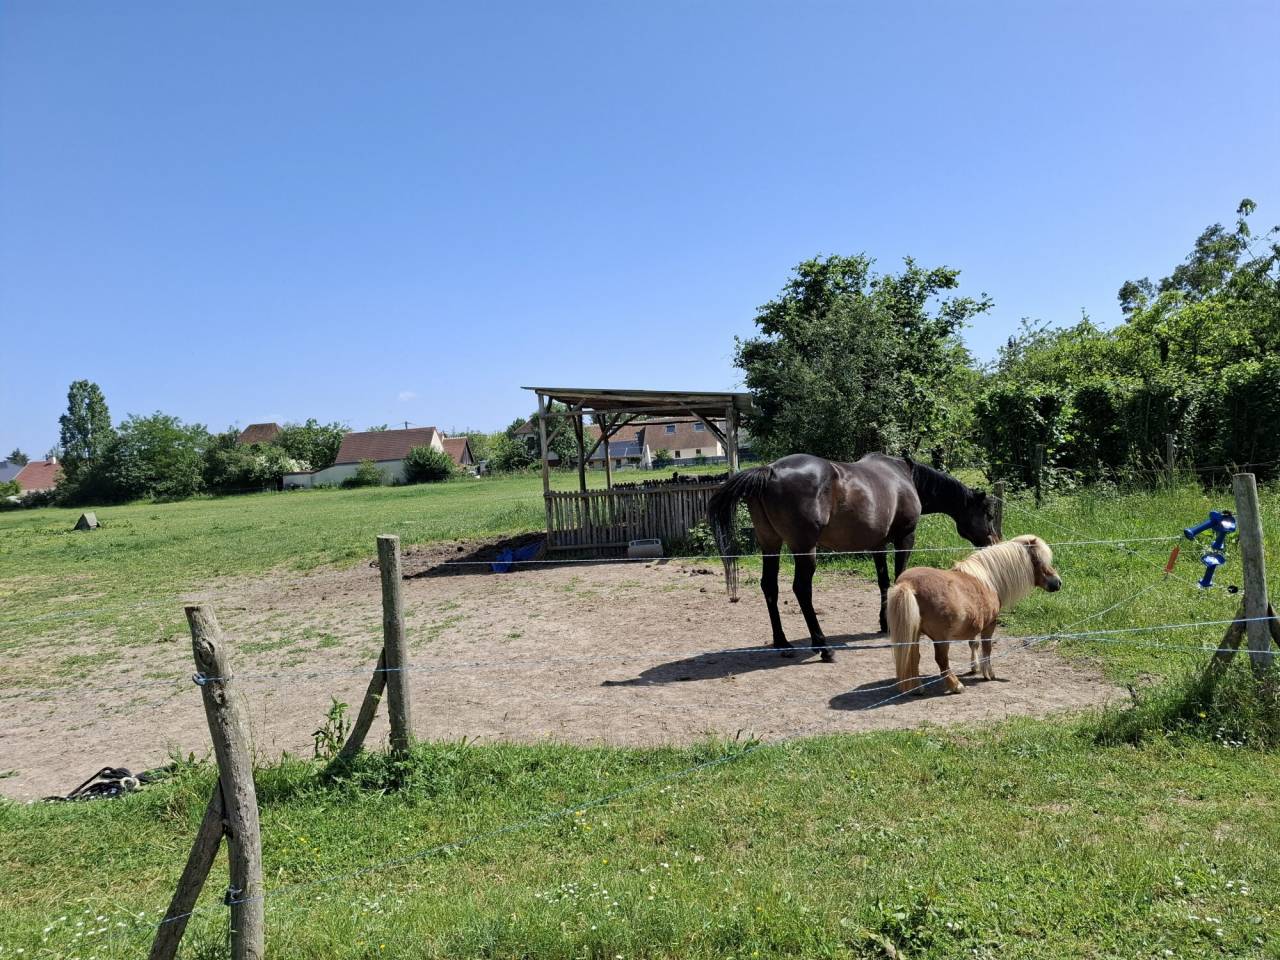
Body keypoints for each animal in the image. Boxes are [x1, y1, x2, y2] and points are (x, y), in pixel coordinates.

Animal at [706, 453, 998, 662]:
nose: (993, 541)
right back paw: (823, 646)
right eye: (988, 513)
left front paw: (884, 622)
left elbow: (884, 582)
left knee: (770, 587)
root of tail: (771, 471)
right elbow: (898, 577)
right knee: (801, 589)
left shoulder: (878, 545)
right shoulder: (905, 538)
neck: (906, 477)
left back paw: (782, 643)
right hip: (804, 549)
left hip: (771, 544)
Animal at [888, 534, 1061, 695]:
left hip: (915, 633)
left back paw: (917, 687)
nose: (1058, 582)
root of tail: (907, 584)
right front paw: (988, 673)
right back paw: (956, 686)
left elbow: (974, 644)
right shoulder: (989, 625)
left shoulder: (974, 624)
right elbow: (987, 647)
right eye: (1038, 561)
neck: (988, 579)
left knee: (913, 657)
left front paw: (974, 667)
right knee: (941, 660)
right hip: (941, 639)